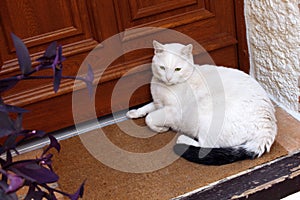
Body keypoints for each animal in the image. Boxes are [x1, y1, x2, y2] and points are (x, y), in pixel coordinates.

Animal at [126, 40, 276, 166]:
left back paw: (183, 139)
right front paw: (134, 113)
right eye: (162, 68)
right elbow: (147, 107)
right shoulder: (158, 103)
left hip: (206, 112)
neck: (163, 86)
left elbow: (149, 118)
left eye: (177, 69)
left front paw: (161, 128)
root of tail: (267, 125)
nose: (168, 78)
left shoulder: (173, 111)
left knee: (208, 145)